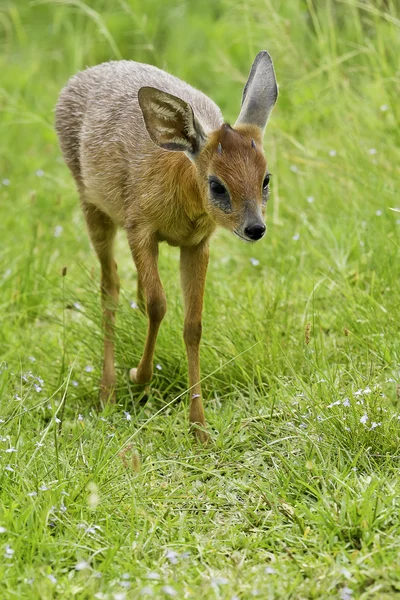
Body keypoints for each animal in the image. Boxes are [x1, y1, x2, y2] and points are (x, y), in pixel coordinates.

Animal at [54, 50, 276, 440]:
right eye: (217, 185)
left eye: (265, 179)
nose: (255, 228)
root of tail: (80, 77)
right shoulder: (139, 226)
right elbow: (159, 305)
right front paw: (138, 375)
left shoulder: (198, 244)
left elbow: (193, 324)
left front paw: (199, 427)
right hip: (91, 205)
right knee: (110, 287)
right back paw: (107, 392)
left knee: (134, 292)